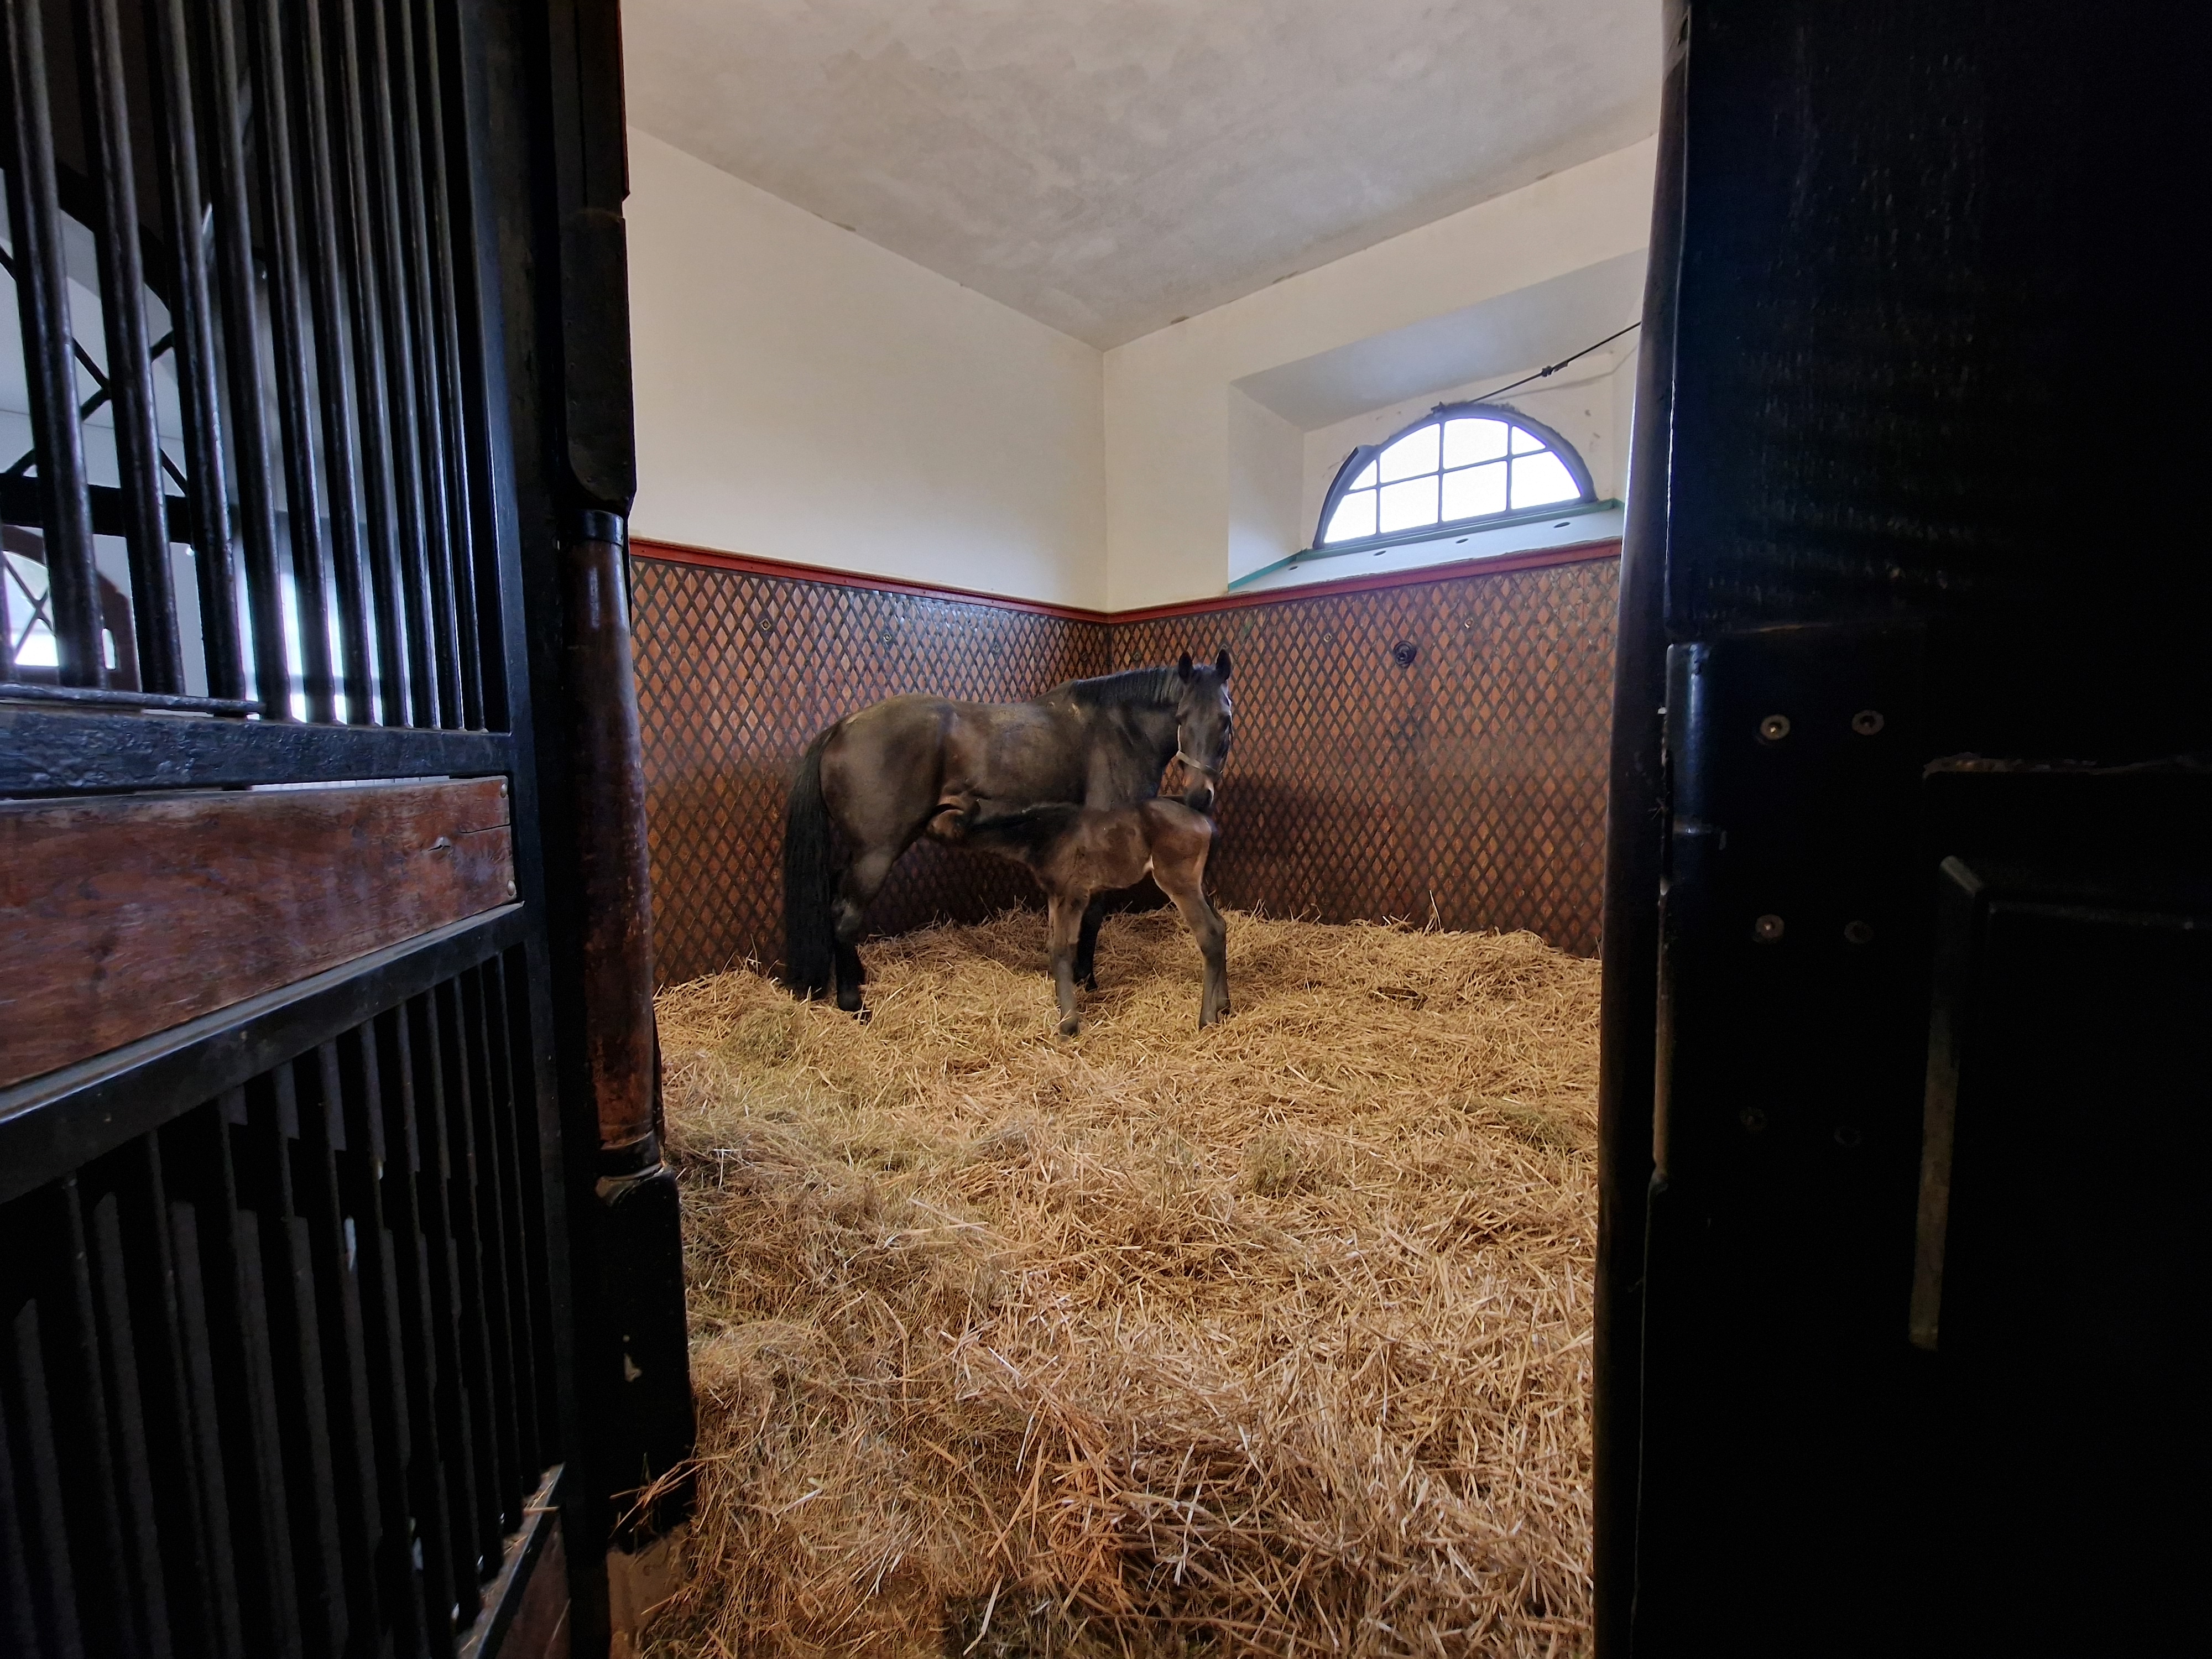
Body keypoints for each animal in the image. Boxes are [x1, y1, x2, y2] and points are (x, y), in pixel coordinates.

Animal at [951, 801, 1230, 1040]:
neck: (1046, 833)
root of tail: (1207, 823)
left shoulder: (1073, 894)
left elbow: (1062, 948)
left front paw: (1068, 1026)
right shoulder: (1055, 896)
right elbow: (1055, 944)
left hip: (1179, 882)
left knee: (1210, 932)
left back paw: (1207, 1019)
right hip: (1199, 885)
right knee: (1221, 926)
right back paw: (1223, 1006)